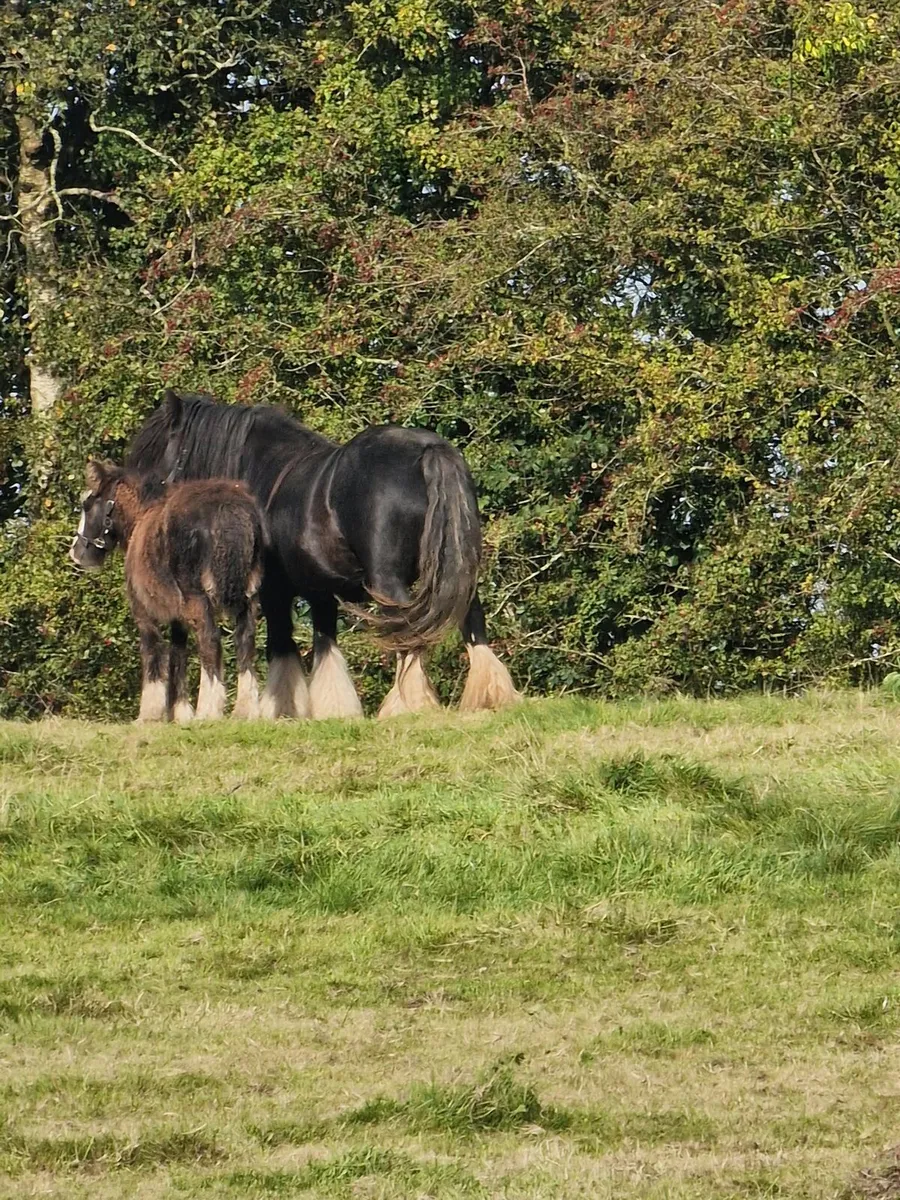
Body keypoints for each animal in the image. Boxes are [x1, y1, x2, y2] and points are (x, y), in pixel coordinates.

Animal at [69, 459, 266, 722]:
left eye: (87, 505)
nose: (76, 553)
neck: (141, 516)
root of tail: (228, 512)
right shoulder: (178, 618)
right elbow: (177, 655)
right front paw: (180, 712)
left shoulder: (143, 612)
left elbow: (152, 652)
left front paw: (150, 713)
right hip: (248, 599)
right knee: (245, 642)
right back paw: (246, 710)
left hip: (199, 599)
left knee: (210, 642)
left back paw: (209, 710)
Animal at [125, 390, 520, 719]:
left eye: (153, 449)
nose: (136, 510)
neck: (265, 474)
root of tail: (428, 451)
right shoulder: (321, 594)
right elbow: (325, 647)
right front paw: (335, 708)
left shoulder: (274, 593)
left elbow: (282, 646)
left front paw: (280, 709)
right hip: (457, 570)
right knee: (472, 623)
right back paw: (490, 696)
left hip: (388, 582)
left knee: (408, 635)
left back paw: (406, 706)